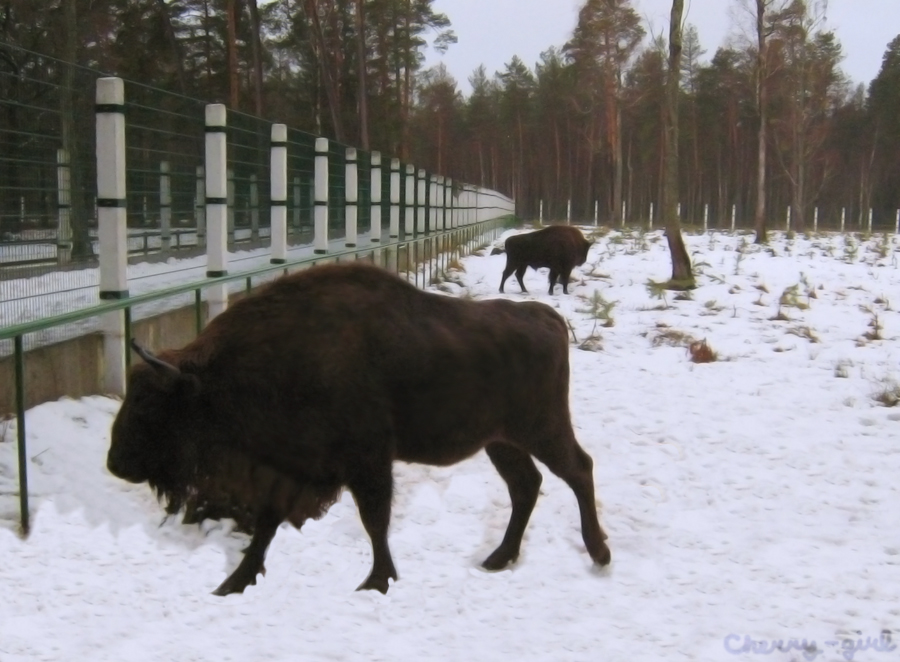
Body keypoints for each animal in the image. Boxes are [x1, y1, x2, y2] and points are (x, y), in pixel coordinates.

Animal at [105, 264, 612, 596]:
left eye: (152, 405)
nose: (116, 464)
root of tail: (547, 318)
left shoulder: (366, 462)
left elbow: (374, 518)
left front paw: (376, 582)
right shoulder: (294, 470)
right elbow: (267, 524)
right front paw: (233, 582)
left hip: (540, 429)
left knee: (579, 469)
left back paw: (599, 554)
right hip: (501, 442)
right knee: (527, 485)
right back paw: (498, 558)